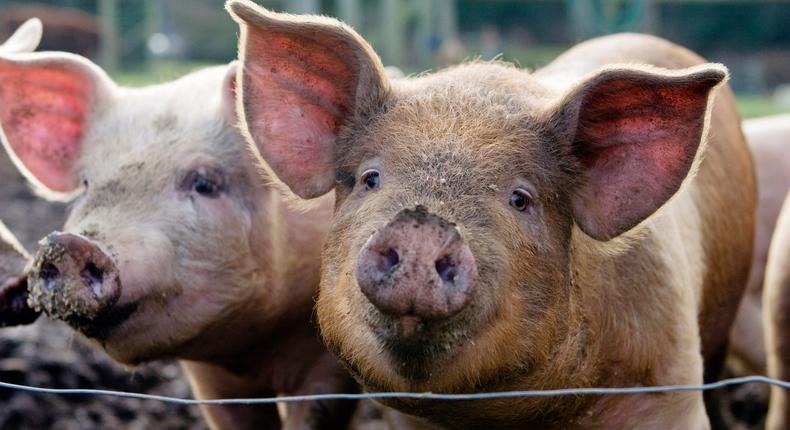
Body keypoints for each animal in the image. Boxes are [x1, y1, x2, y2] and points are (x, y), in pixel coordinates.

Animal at [0, 49, 358, 426]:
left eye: (204, 183)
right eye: (86, 184)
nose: (69, 245)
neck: (254, 346)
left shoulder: (328, 365)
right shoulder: (213, 381)